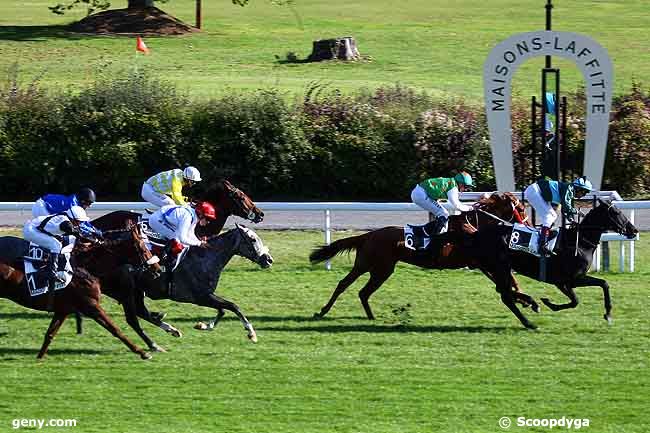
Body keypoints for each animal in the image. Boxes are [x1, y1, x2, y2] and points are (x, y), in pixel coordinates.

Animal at [0, 224, 158, 360]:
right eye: (143, 249)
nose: (156, 268)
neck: (85, 267)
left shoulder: (63, 310)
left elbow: (50, 334)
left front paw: (39, 358)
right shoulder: (91, 305)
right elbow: (115, 329)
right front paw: (142, 352)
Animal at [308, 192, 536, 318]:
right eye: (521, 208)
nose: (530, 225)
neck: (474, 228)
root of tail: (369, 235)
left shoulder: (480, 263)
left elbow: (509, 281)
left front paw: (524, 300)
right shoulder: (481, 262)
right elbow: (505, 283)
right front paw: (526, 301)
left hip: (377, 269)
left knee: (360, 291)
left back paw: (368, 316)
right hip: (372, 267)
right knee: (346, 286)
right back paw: (324, 311)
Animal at [438, 199, 636, 328]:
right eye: (617, 213)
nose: (633, 230)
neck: (580, 242)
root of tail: (477, 234)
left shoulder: (563, 282)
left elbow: (576, 299)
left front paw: (549, 303)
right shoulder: (572, 279)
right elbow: (602, 284)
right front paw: (608, 314)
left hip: (496, 268)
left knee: (503, 291)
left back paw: (530, 304)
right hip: (500, 267)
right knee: (505, 295)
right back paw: (529, 321)